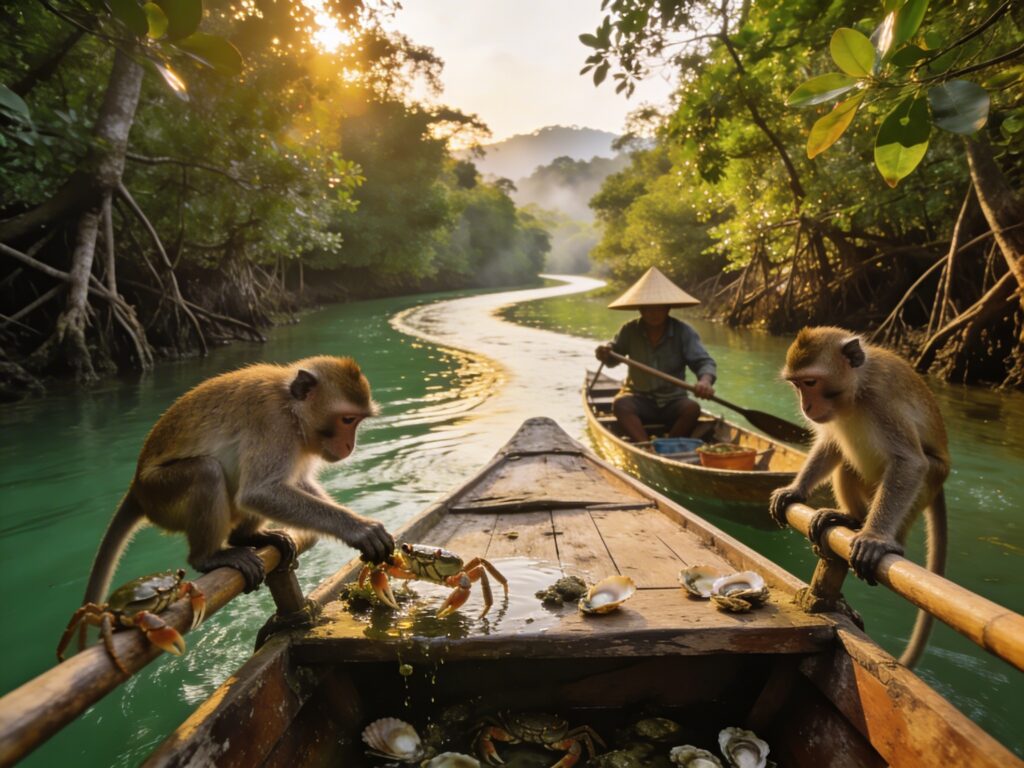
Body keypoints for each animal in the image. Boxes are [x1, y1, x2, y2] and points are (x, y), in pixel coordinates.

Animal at [81, 355, 396, 613]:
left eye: (356, 421)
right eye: (347, 419)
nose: (349, 446)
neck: (291, 408)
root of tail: (136, 487)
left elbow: (292, 483)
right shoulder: (273, 424)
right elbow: (260, 492)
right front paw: (358, 529)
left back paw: (247, 537)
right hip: (160, 493)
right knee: (207, 472)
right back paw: (207, 557)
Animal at [768, 327, 948, 668]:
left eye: (810, 383)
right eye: (797, 384)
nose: (805, 407)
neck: (855, 391)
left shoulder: (883, 400)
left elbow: (909, 462)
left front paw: (875, 537)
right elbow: (829, 445)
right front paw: (795, 490)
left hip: (931, 479)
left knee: (919, 470)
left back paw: (886, 537)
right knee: (845, 460)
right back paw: (850, 517)